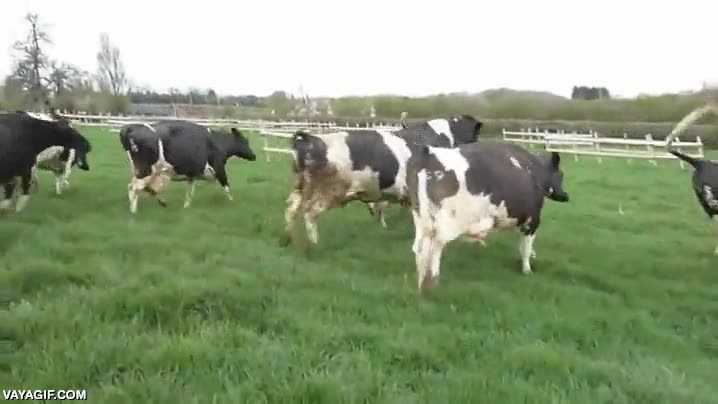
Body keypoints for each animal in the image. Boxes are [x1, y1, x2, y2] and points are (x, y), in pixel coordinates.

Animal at [119, 120, 256, 213]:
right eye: (245, 141)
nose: (254, 156)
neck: (219, 142)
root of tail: (130, 128)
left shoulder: (192, 174)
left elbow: (190, 191)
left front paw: (186, 206)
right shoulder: (219, 167)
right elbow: (227, 186)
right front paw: (233, 203)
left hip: (144, 171)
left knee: (137, 187)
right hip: (146, 170)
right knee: (135, 188)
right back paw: (134, 211)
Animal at [280, 115, 483, 247]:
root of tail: (310, 139)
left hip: (299, 187)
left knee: (291, 209)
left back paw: (287, 240)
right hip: (328, 192)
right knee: (309, 213)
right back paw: (313, 246)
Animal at [405, 141, 569, 291]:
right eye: (561, 174)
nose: (565, 196)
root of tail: (428, 152)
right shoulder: (532, 219)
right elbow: (526, 247)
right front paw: (527, 270)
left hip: (420, 218)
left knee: (418, 248)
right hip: (444, 225)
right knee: (434, 248)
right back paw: (432, 283)